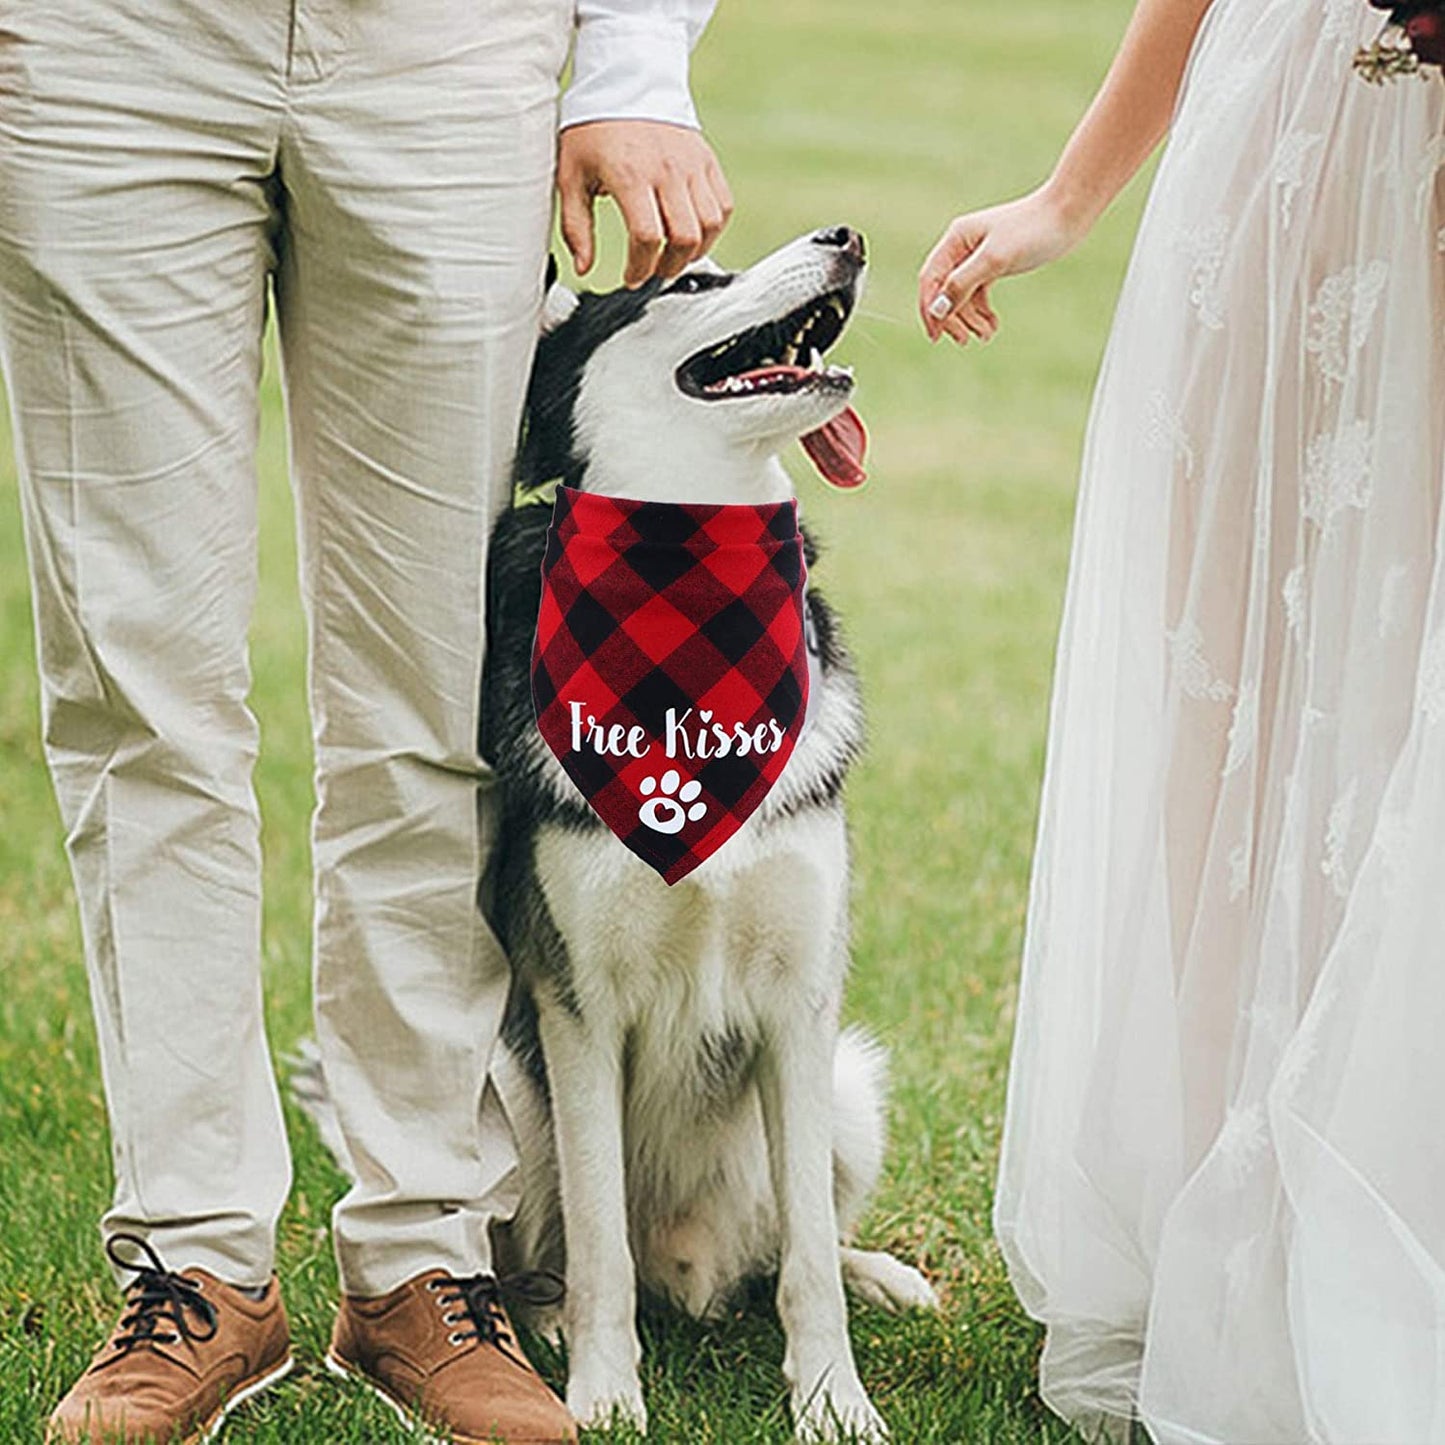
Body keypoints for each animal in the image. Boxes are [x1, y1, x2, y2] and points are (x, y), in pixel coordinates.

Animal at [293, 222, 936, 1433]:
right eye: (691, 281)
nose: (845, 235)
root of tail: (691, 1268)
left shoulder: (800, 1003)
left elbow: (808, 1264)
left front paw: (833, 1402)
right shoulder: (575, 1005)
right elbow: (597, 1243)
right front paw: (601, 1394)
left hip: (848, 1085)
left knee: (783, 1246)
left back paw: (883, 1274)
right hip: (502, 1091)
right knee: (540, 1253)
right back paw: (534, 1325)